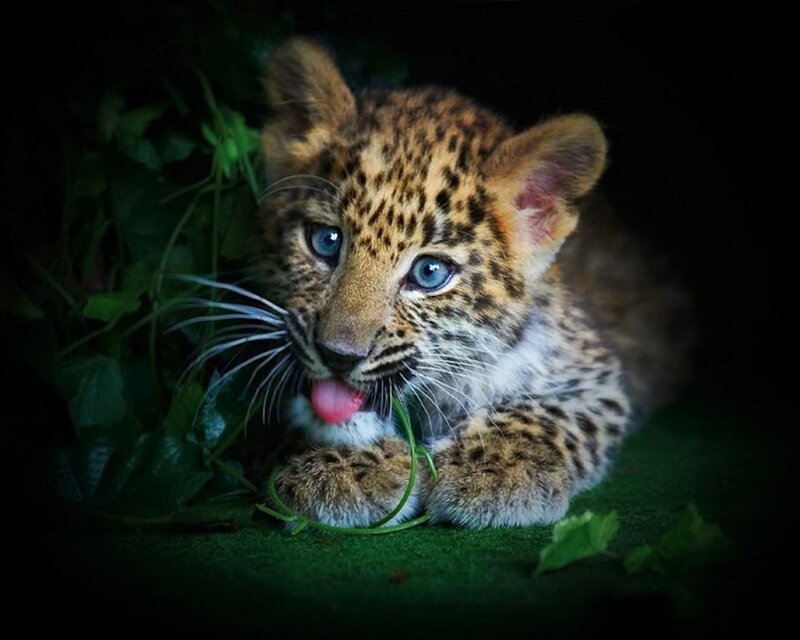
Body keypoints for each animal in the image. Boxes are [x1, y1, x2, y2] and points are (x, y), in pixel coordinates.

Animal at [250, 38, 690, 529]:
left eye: (429, 273)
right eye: (326, 241)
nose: (338, 356)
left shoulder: (596, 378)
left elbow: (549, 413)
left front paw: (496, 463)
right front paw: (341, 463)